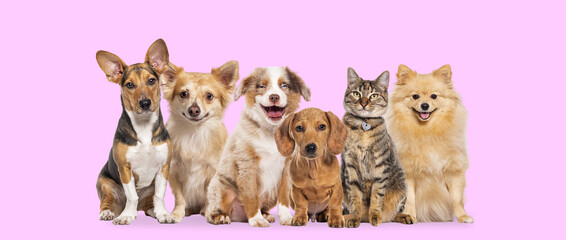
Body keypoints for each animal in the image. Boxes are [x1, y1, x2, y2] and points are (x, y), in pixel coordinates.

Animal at [95, 39, 175, 225]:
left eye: (151, 80)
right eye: (129, 85)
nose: (145, 103)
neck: (143, 127)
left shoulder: (164, 167)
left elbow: (159, 196)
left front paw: (163, 213)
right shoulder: (125, 168)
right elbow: (132, 196)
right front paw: (127, 216)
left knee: (148, 204)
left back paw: (153, 211)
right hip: (105, 184)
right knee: (107, 202)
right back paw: (108, 213)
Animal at [161, 61, 241, 222]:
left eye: (209, 96)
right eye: (183, 94)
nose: (194, 110)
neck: (194, 133)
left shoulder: (213, 173)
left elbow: (210, 196)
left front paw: (211, 213)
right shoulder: (174, 171)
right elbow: (180, 198)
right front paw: (177, 214)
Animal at [205, 66, 310, 227]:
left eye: (284, 85)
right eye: (262, 86)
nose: (274, 97)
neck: (272, 132)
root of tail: (239, 217)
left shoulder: (287, 168)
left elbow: (284, 197)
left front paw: (286, 217)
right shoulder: (247, 165)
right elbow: (251, 196)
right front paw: (256, 219)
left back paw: (266, 214)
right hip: (219, 187)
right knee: (211, 211)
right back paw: (221, 217)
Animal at [342, 67, 418, 227]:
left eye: (374, 95)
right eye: (356, 94)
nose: (364, 103)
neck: (363, 126)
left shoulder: (381, 164)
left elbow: (377, 194)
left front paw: (375, 216)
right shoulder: (350, 165)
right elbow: (354, 196)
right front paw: (354, 217)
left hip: (402, 185)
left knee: (393, 214)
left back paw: (403, 217)